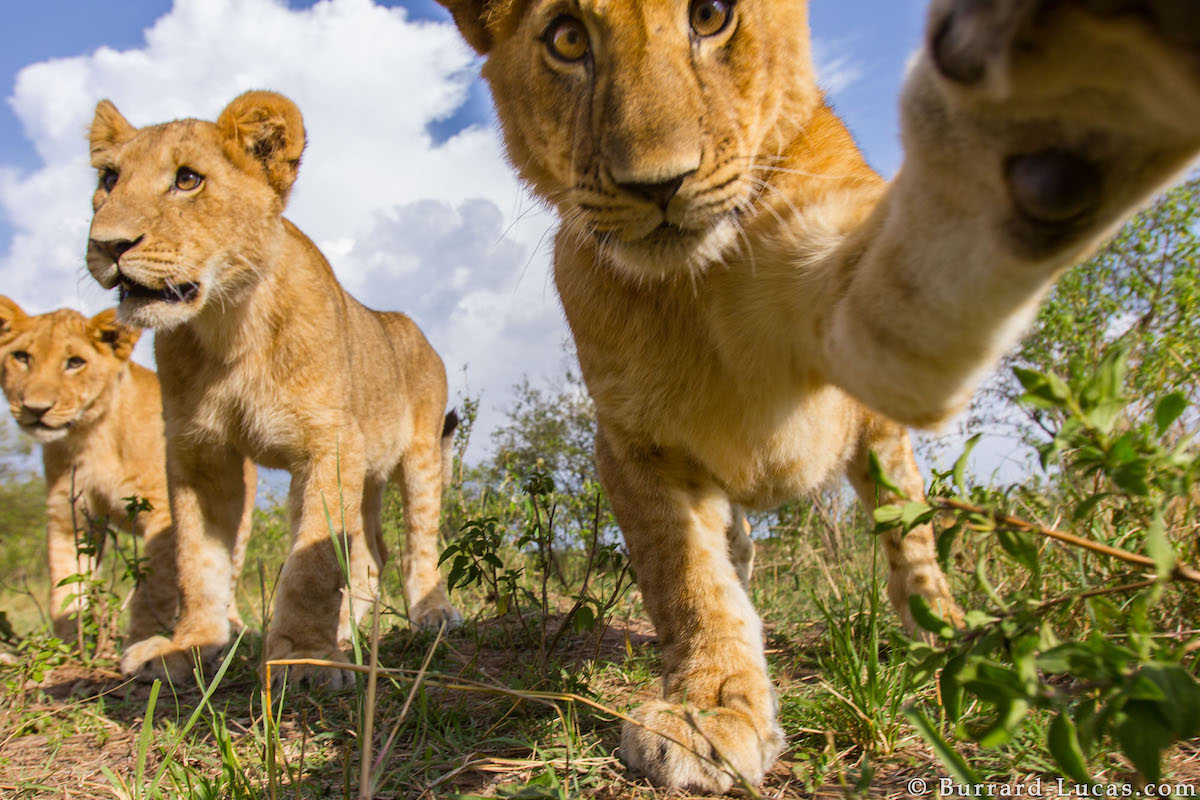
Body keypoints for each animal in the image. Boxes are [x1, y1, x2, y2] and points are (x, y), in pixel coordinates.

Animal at [0, 297, 254, 644]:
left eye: (75, 362)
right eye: (22, 357)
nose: (35, 409)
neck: (92, 437)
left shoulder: (162, 512)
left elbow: (154, 586)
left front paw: (143, 638)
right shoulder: (68, 515)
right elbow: (66, 583)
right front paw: (70, 645)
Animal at [84, 91, 460, 686]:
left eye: (187, 179)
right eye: (109, 178)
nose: (107, 245)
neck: (229, 327)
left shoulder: (329, 444)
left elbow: (313, 561)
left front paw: (304, 658)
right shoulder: (199, 455)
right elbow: (198, 559)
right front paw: (189, 646)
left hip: (420, 454)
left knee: (417, 544)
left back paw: (432, 613)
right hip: (369, 472)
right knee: (368, 556)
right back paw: (347, 630)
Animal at [437, 0, 1200, 790]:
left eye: (710, 16)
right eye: (567, 39)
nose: (657, 184)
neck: (689, 287)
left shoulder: (862, 316)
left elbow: (930, 269)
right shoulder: (633, 445)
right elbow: (689, 581)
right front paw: (711, 709)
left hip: (882, 448)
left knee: (912, 542)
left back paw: (952, 640)